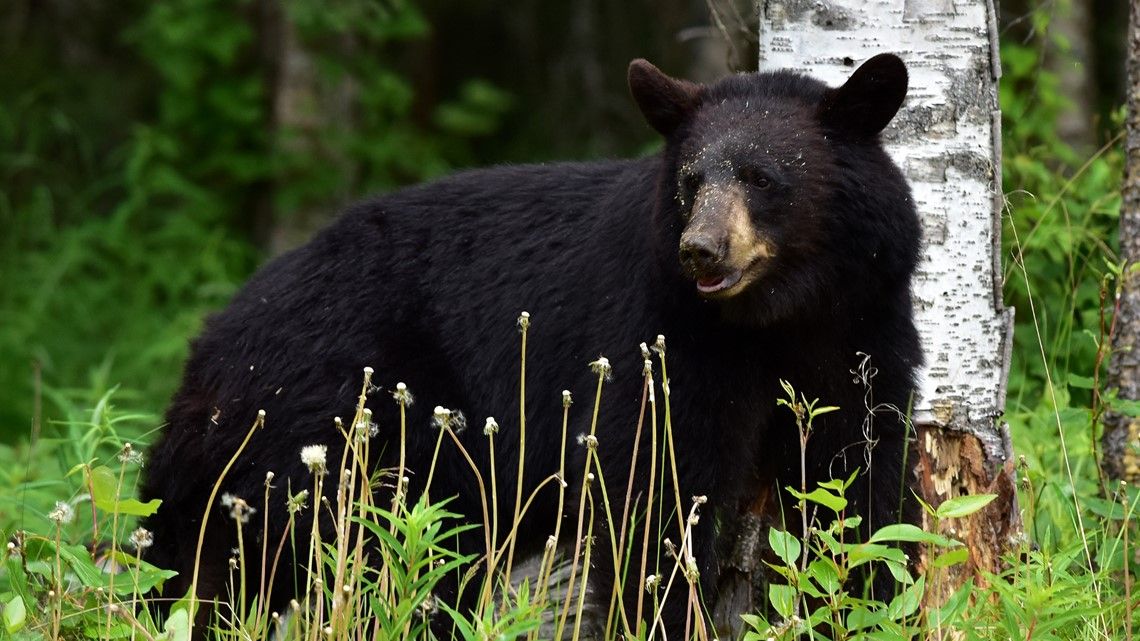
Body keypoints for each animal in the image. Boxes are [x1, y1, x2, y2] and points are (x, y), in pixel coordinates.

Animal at [142, 53, 921, 634]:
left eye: (762, 178)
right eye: (691, 180)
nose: (700, 249)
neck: (775, 316)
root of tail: (208, 350)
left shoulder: (862, 328)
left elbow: (862, 478)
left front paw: (872, 600)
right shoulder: (663, 337)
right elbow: (659, 488)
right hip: (332, 429)